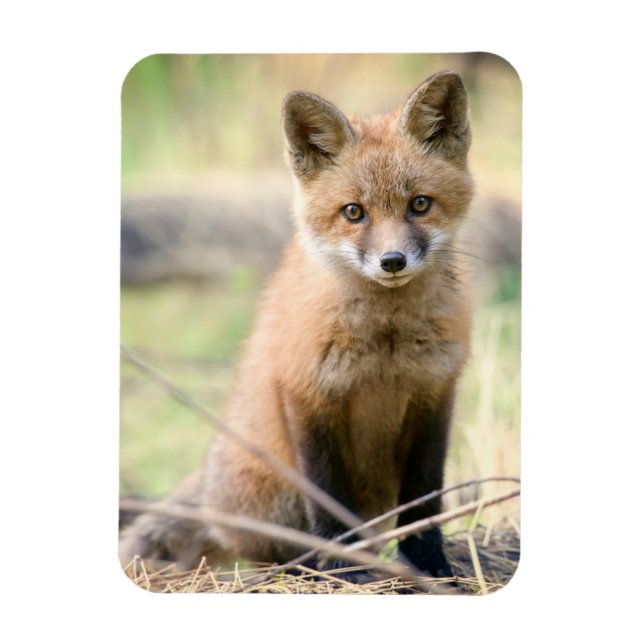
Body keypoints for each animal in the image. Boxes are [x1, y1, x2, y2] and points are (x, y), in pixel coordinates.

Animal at [119, 70, 474, 581]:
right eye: (353, 212)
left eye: (420, 205)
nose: (392, 261)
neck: (385, 347)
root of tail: (209, 492)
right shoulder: (307, 394)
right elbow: (326, 499)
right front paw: (341, 570)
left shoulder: (435, 395)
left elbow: (425, 500)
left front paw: (431, 567)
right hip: (274, 494)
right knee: (268, 549)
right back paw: (303, 566)